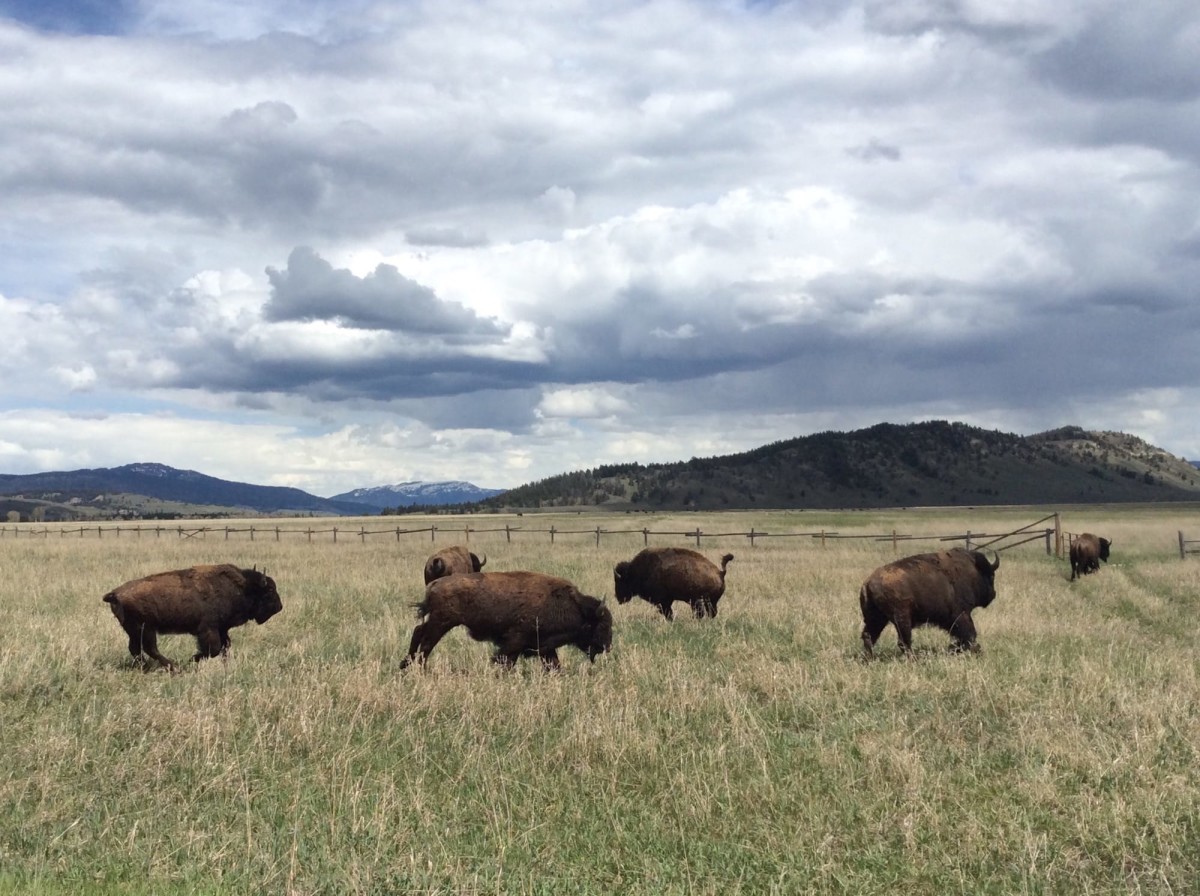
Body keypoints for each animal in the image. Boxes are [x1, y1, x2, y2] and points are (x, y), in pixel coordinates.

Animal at [102, 563, 282, 671]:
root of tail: (115, 593)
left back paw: (148, 667)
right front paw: (191, 660)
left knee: (136, 649)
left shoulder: (222, 629)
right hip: (146, 629)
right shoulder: (208, 629)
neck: (244, 587)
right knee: (149, 648)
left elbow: (225, 647)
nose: (279, 607)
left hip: (135, 631)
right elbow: (213, 649)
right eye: (270, 590)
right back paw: (173, 667)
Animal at [400, 570, 614, 671]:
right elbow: (504, 660)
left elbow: (553, 665)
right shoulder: (515, 642)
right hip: (442, 622)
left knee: (418, 632)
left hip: (438, 621)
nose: (607, 646)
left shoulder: (544, 647)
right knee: (426, 642)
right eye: (600, 625)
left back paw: (405, 665)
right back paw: (419, 668)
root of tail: (435, 583)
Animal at [859, 546, 998, 657]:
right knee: (903, 641)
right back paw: (913, 659)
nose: (993, 594)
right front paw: (974, 649)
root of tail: (868, 583)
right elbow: (970, 633)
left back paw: (869, 658)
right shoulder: (961, 614)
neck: (974, 571)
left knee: (869, 636)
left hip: (877, 618)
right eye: (991, 576)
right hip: (901, 618)